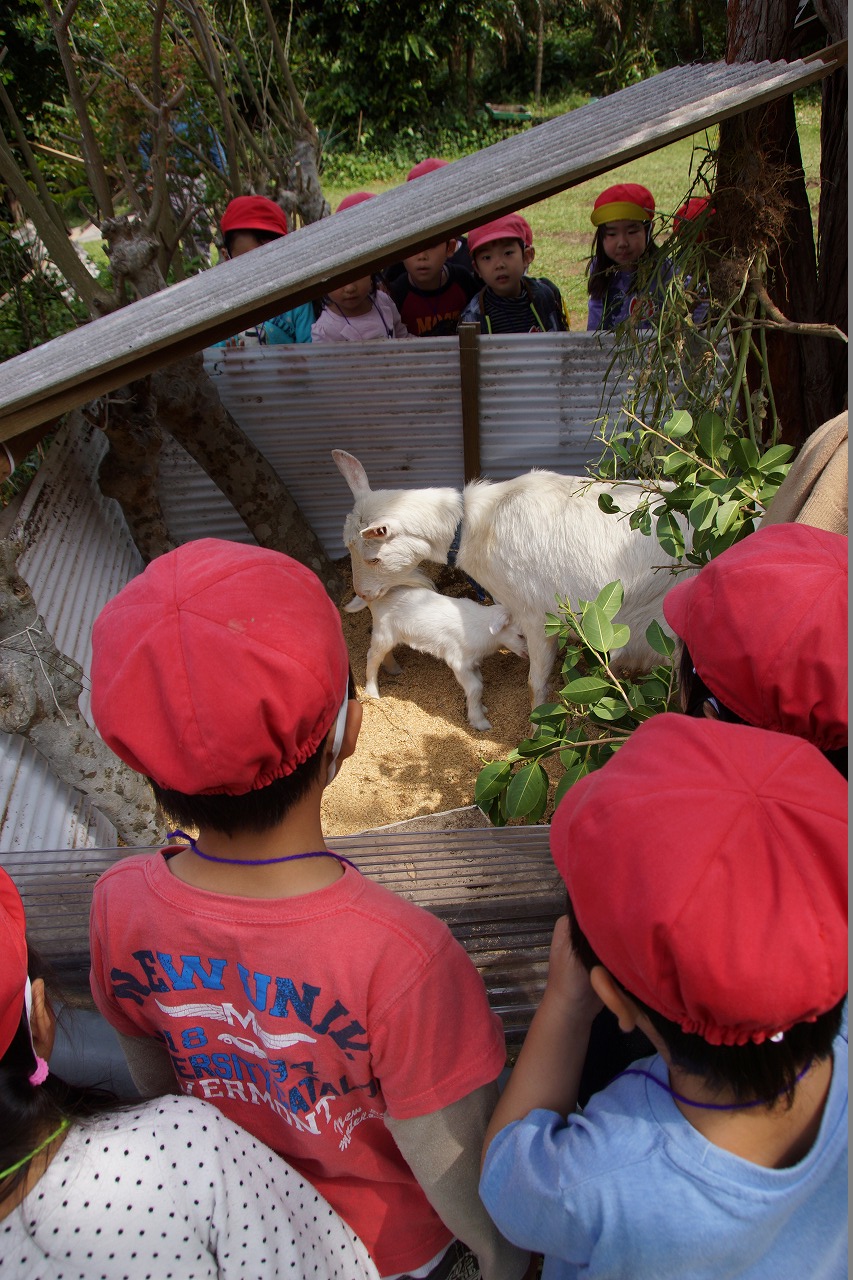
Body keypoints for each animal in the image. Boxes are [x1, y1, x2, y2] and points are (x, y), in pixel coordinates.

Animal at [343, 570, 525, 732]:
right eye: (520, 635)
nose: (528, 654)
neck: (482, 627)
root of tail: (376, 597)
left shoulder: (473, 663)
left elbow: (479, 682)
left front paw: (481, 708)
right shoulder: (458, 662)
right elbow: (475, 687)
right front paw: (480, 722)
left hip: (390, 635)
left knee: (384, 653)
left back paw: (394, 669)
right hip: (383, 632)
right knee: (372, 657)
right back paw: (372, 691)